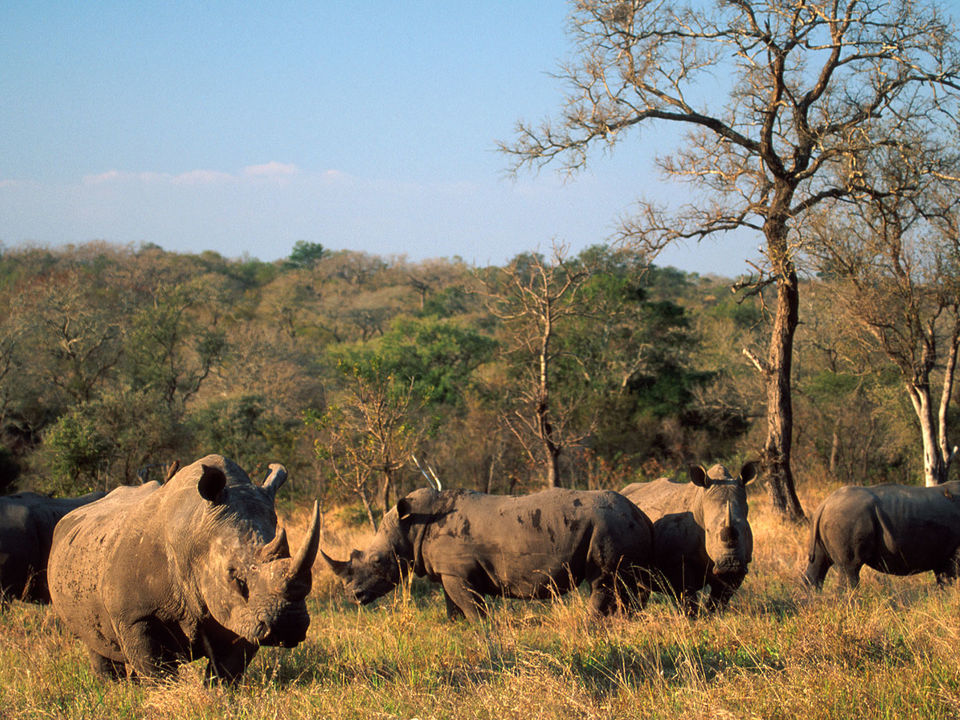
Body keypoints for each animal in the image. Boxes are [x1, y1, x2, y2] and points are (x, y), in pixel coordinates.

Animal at [48, 454, 320, 684]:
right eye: (235, 577)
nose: (288, 626)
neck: (194, 532)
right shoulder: (134, 615)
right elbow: (157, 673)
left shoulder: (243, 615)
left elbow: (227, 670)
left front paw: (218, 696)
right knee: (94, 643)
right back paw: (113, 687)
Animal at [321, 487, 654, 620]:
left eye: (377, 561)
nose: (354, 596)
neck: (411, 526)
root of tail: (641, 514)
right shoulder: (449, 573)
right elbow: (453, 608)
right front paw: (456, 631)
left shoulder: (459, 573)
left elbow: (472, 608)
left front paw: (484, 632)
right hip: (619, 525)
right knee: (627, 583)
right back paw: (624, 622)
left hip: (608, 526)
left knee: (603, 580)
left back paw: (591, 625)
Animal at [620, 461, 758, 614]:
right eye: (708, 531)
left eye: (746, 529)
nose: (731, 565)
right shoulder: (678, 561)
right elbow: (688, 598)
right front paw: (694, 617)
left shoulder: (742, 562)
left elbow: (719, 599)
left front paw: (712, 615)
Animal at [805, 481, 960, 589]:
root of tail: (824, 504)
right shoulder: (950, 554)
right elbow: (948, 579)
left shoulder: (943, 556)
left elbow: (944, 581)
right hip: (846, 518)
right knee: (849, 569)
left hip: (833, 518)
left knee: (818, 565)